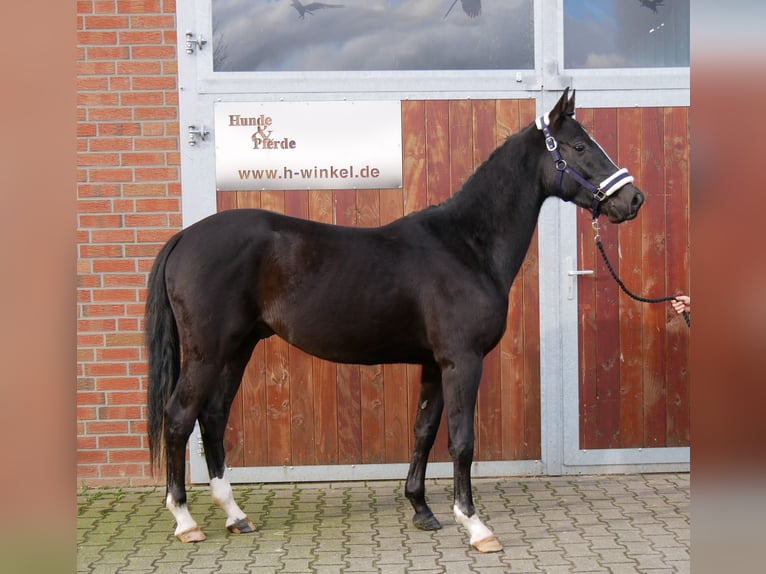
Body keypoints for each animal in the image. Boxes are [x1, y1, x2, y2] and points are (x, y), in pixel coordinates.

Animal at [144, 90, 640, 552]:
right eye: (580, 145)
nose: (633, 199)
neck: (466, 245)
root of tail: (185, 236)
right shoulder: (462, 361)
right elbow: (462, 440)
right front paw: (475, 526)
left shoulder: (434, 364)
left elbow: (424, 430)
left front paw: (422, 509)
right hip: (208, 353)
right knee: (179, 418)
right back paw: (186, 522)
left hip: (238, 348)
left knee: (213, 417)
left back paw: (235, 515)